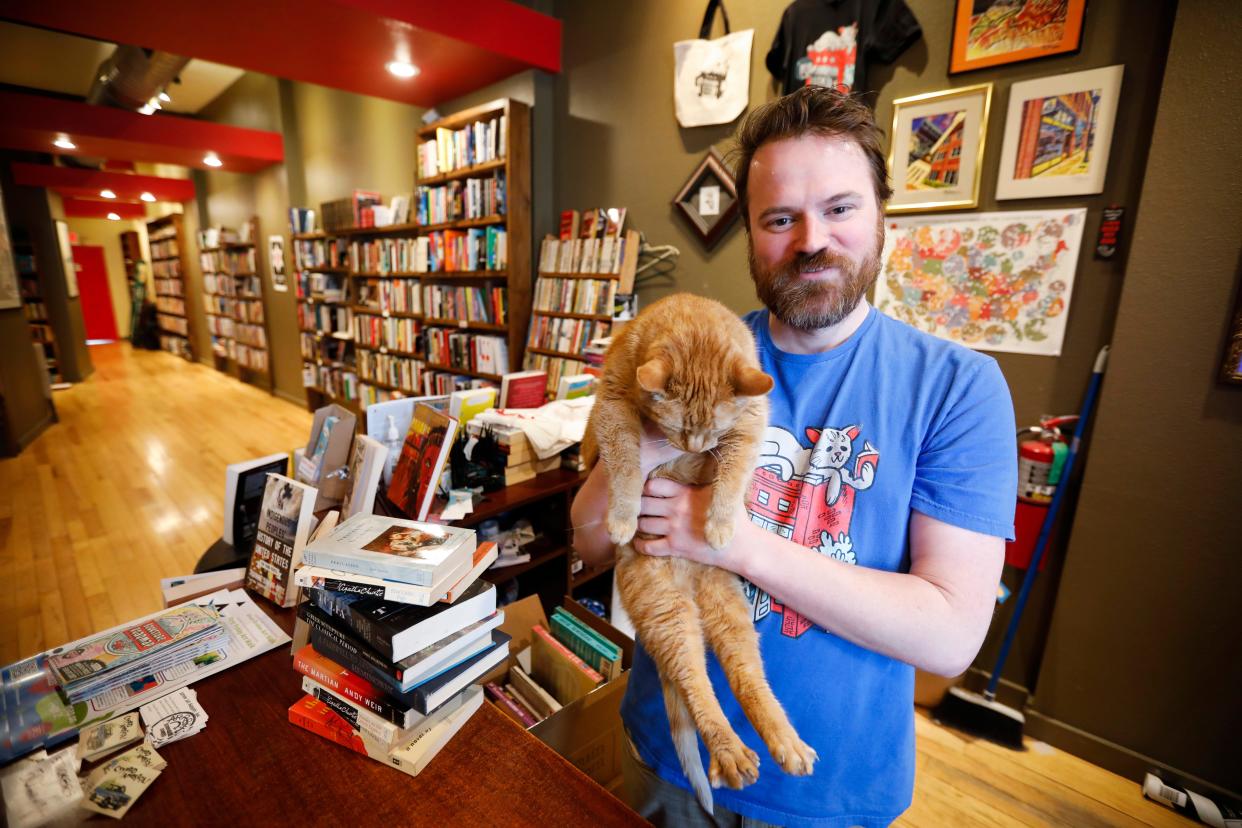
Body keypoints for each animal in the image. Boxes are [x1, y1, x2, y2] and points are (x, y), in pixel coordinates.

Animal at [586, 294, 819, 814]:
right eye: (675, 426)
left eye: (714, 426)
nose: (694, 445)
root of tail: (691, 583)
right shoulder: (612, 408)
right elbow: (626, 467)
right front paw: (622, 517)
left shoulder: (750, 424)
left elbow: (732, 476)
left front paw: (720, 524)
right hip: (671, 617)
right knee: (698, 687)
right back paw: (732, 754)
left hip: (729, 618)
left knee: (746, 680)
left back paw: (783, 743)